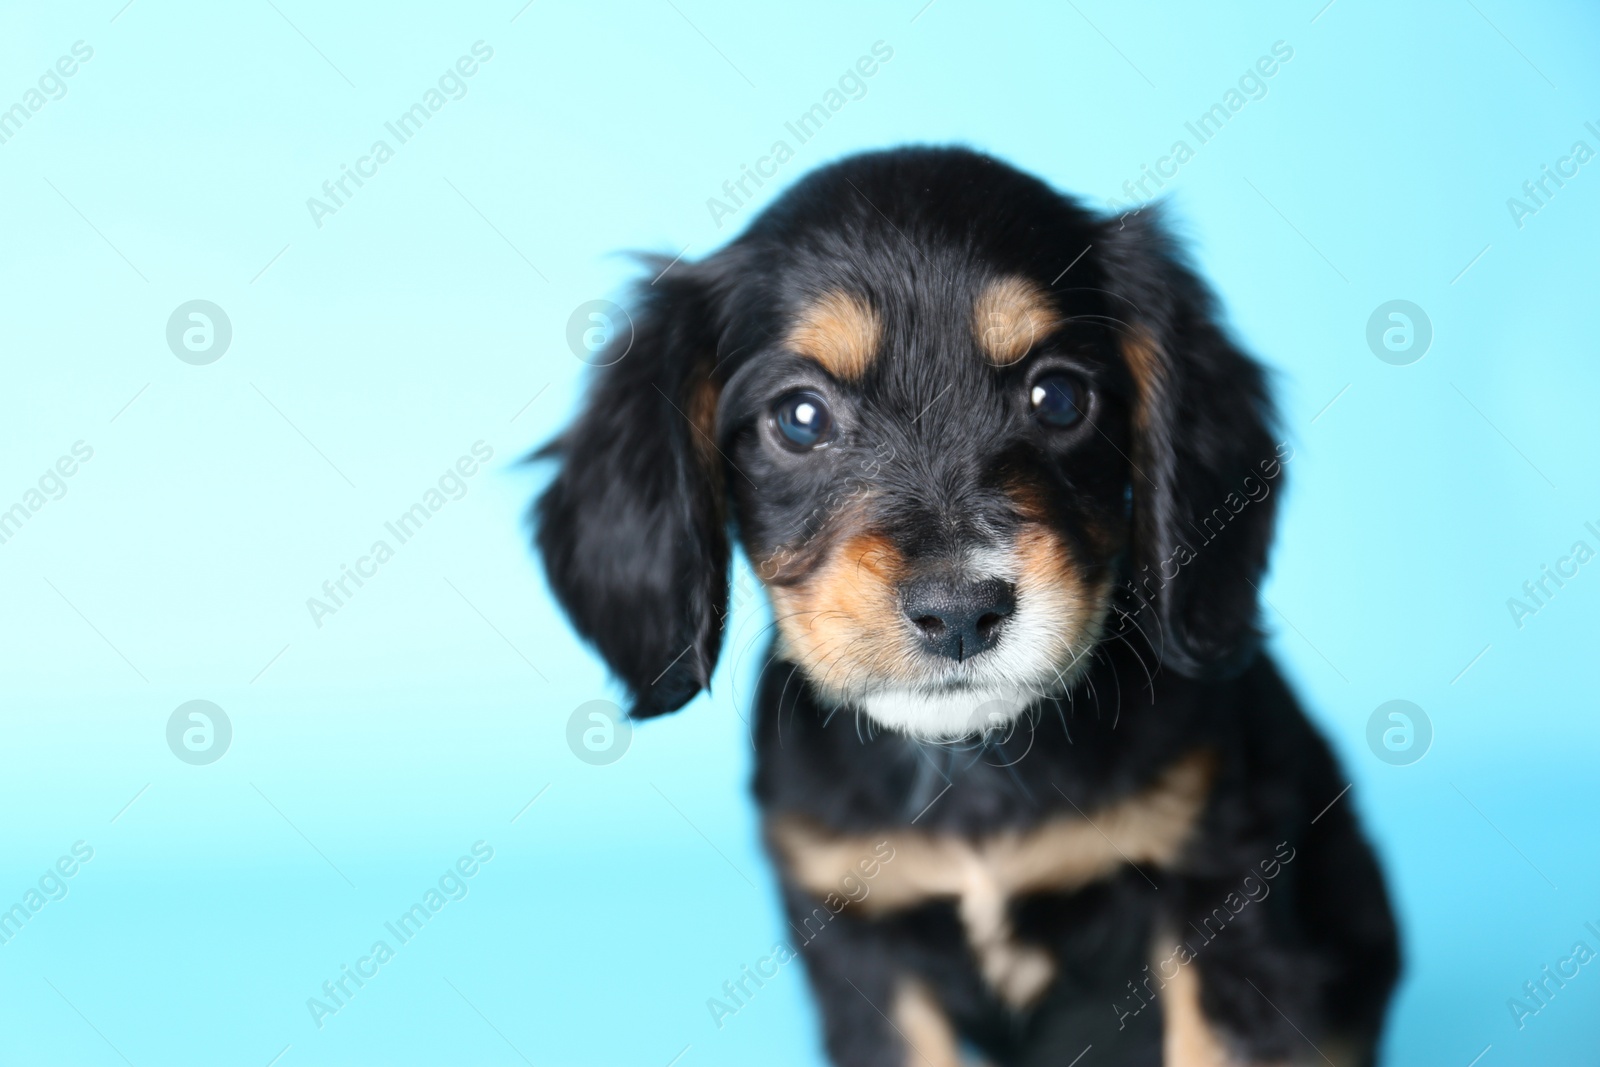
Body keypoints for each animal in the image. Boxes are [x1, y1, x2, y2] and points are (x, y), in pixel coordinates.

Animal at [531, 147, 1395, 1067]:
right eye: (799, 418)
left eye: (1059, 397)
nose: (959, 612)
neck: (972, 769)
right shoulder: (858, 935)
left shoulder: (1218, 881)